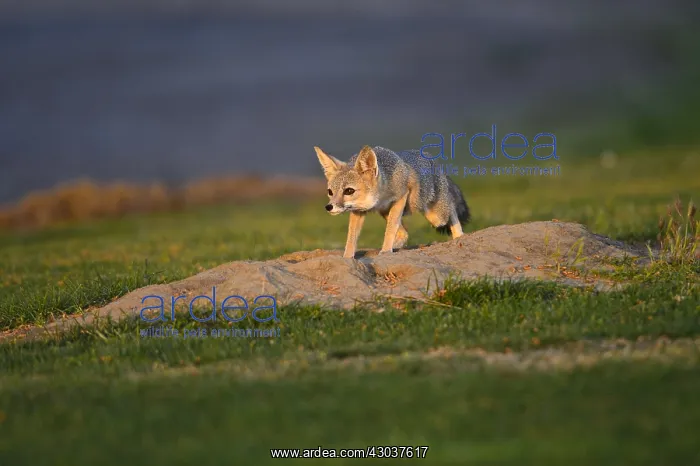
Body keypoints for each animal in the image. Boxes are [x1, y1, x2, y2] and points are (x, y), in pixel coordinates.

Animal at [314, 145, 470, 259]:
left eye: (348, 191)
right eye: (330, 192)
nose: (329, 207)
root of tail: (434, 162)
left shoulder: (401, 197)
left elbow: (390, 229)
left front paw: (385, 251)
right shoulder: (358, 210)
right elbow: (351, 237)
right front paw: (347, 258)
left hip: (436, 217)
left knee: (451, 206)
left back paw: (459, 236)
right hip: (386, 212)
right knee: (404, 233)